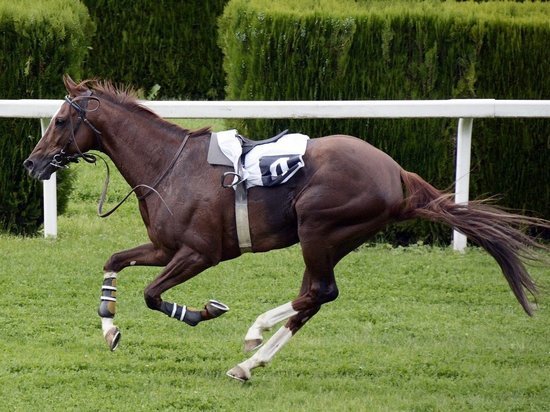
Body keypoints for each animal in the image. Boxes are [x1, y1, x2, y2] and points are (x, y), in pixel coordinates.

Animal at [23, 75, 548, 382]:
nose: (32, 163)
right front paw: (109, 327)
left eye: (62, 119)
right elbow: (113, 262)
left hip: (320, 229)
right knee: (313, 298)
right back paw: (249, 362)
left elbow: (153, 295)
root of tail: (396, 173)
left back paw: (254, 334)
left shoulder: (199, 253)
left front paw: (202, 312)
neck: (168, 165)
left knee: (318, 292)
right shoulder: (164, 246)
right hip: (330, 239)